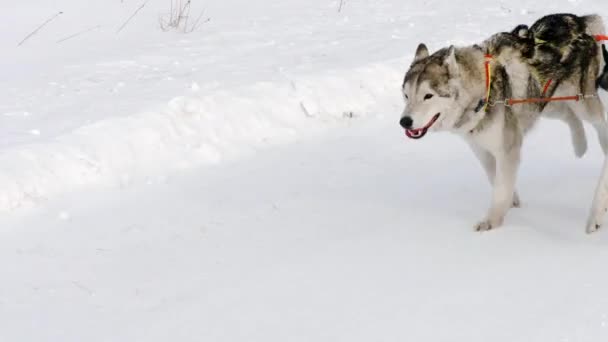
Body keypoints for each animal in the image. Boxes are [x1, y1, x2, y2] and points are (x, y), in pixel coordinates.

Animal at [402, 14, 604, 231]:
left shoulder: (508, 148)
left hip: (583, 103)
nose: (404, 122)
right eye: (406, 95)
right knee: (569, 115)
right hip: (544, 102)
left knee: (596, 119)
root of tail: (577, 20)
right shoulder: (482, 149)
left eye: (428, 96)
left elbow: (500, 188)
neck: (483, 92)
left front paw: (492, 222)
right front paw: (512, 200)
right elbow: (496, 178)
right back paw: (580, 146)